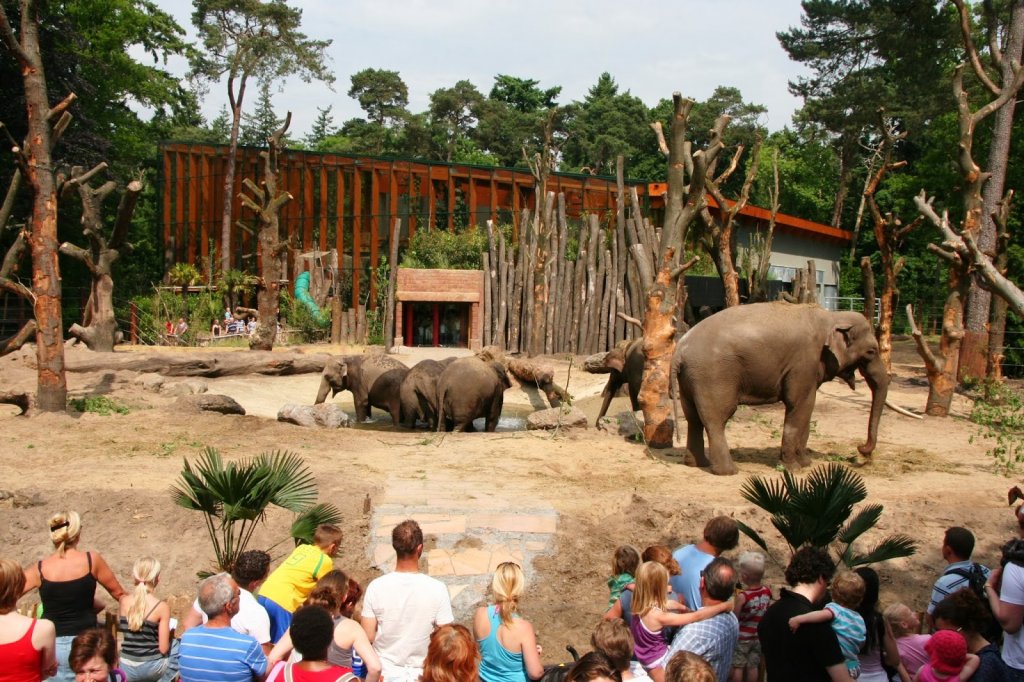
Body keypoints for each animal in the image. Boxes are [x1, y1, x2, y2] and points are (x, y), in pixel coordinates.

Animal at [671, 301, 888, 475]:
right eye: (871, 351)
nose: (861, 450)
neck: (832, 316)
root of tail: (679, 351)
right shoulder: (804, 361)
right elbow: (800, 404)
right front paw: (794, 469)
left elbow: (806, 409)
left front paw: (806, 463)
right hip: (713, 375)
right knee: (716, 419)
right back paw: (729, 471)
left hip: (690, 378)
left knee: (693, 418)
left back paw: (696, 463)